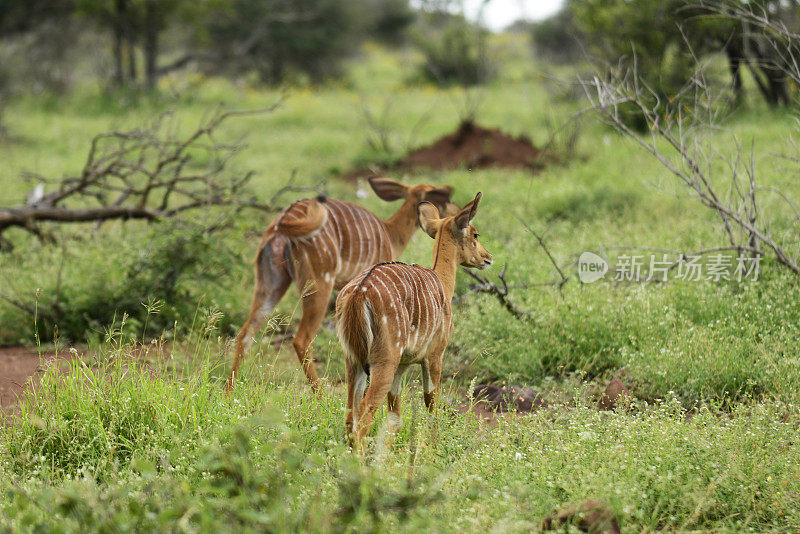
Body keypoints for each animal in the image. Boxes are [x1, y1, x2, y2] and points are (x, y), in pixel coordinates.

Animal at [228, 178, 460, 392]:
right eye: (446, 199)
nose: (457, 212)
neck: (390, 233)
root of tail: (281, 225)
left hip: (271, 283)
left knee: (245, 332)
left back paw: (230, 391)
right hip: (319, 284)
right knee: (301, 339)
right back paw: (321, 395)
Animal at [334, 191, 490, 450]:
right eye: (475, 234)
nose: (488, 258)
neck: (442, 282)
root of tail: (358, 294)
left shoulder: (404, 364)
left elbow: (394, 418)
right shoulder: (435, 354)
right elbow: (431, 403)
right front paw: (434, 449)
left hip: (353, 359)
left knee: (350, 415)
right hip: (383, 360)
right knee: (364, 414)